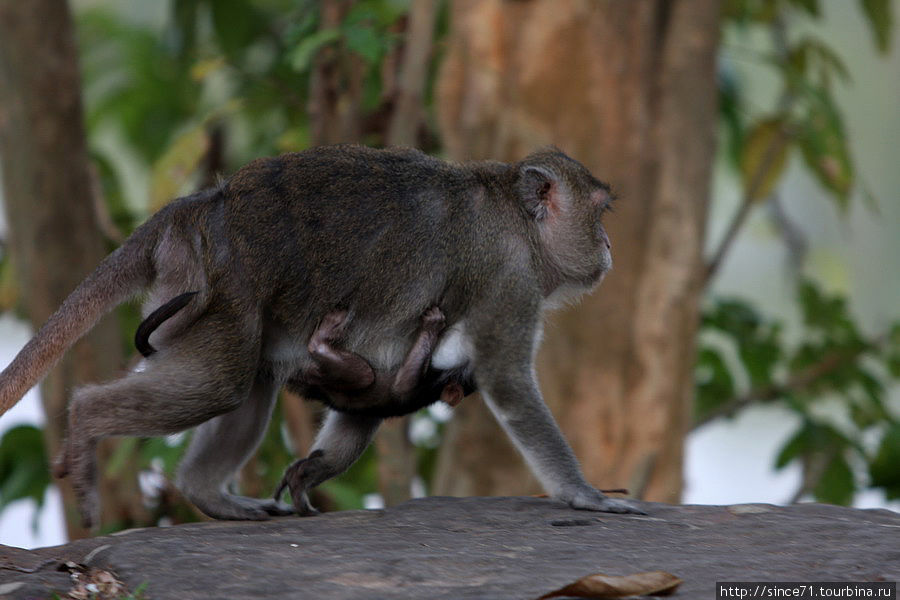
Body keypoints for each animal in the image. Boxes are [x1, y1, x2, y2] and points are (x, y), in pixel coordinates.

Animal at [0, 145, 640, 524]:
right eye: (600, 214)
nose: (610, 245)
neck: (517, 221)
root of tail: (198, 209)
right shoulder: (509, 282)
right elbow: (507, 380)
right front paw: (584, 494)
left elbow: (370, 401)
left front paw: (311, 471)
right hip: (221, 284)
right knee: (219, 384)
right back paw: (85, 422)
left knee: (245, 384)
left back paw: (208, 495)